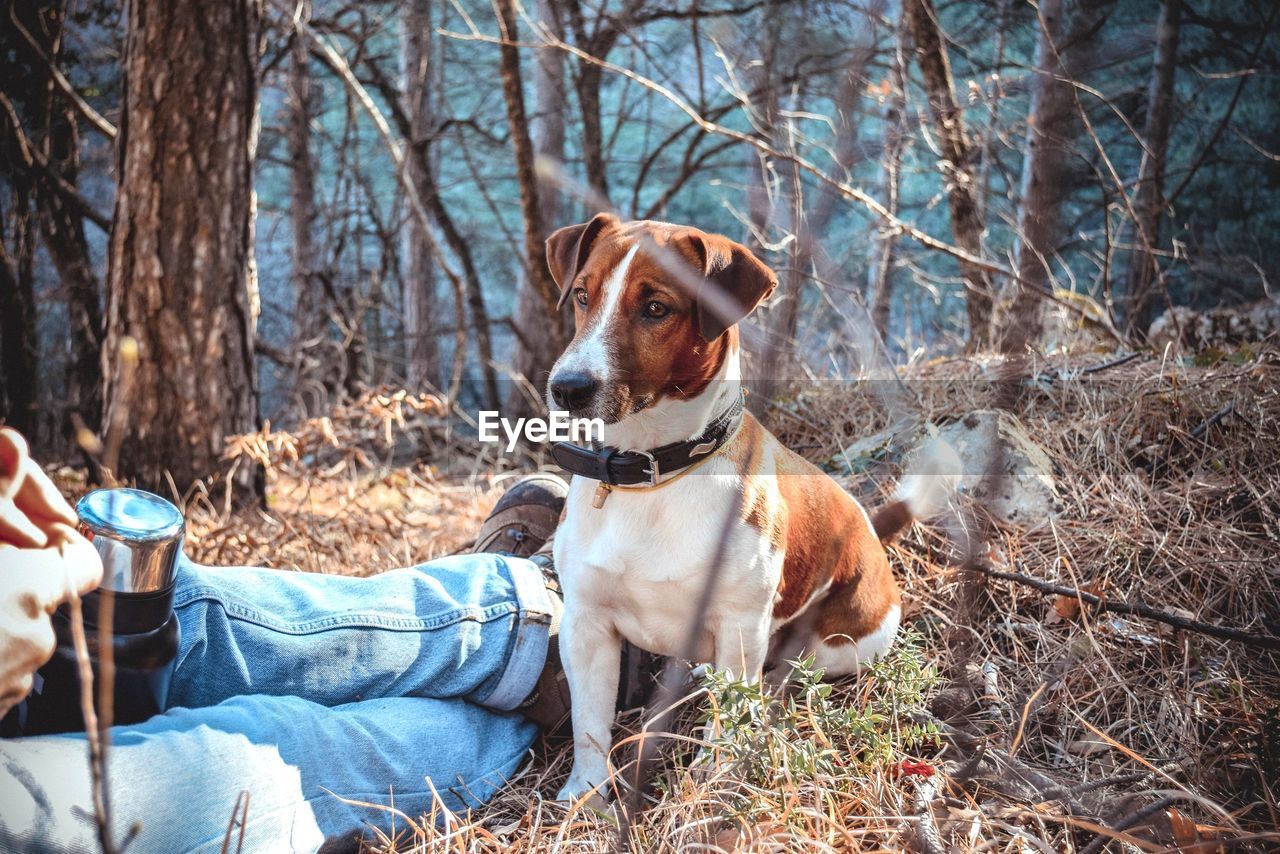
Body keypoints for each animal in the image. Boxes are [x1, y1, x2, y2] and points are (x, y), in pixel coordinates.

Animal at [545, 212, 957, 804]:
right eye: (582, 295)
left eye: (656, 308)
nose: (567, 388)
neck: (653, 474)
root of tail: (871, 532)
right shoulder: (586, 626)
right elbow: (589, 725)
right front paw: (586, 796)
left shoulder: (739, 625)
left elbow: (728, 718)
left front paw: (712, 783)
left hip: (837, 645)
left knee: (784, 677)